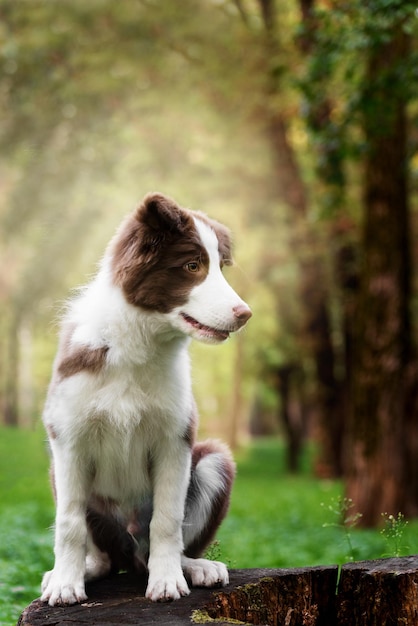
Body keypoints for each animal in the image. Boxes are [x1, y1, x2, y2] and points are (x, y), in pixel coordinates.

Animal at [40, 191, 251, 604]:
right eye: (192, 265)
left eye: (220, 268)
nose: (245, 314)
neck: (140, 341)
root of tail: (130, 552)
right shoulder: (68, 439)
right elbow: (69, 523)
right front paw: (65, 585)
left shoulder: (176, 439)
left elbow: (167, 520)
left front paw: (167, 581)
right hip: (66, 482)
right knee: (105, 557)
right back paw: (81, 570)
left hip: (213, 459)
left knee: (159, 543)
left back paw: (193, 567)